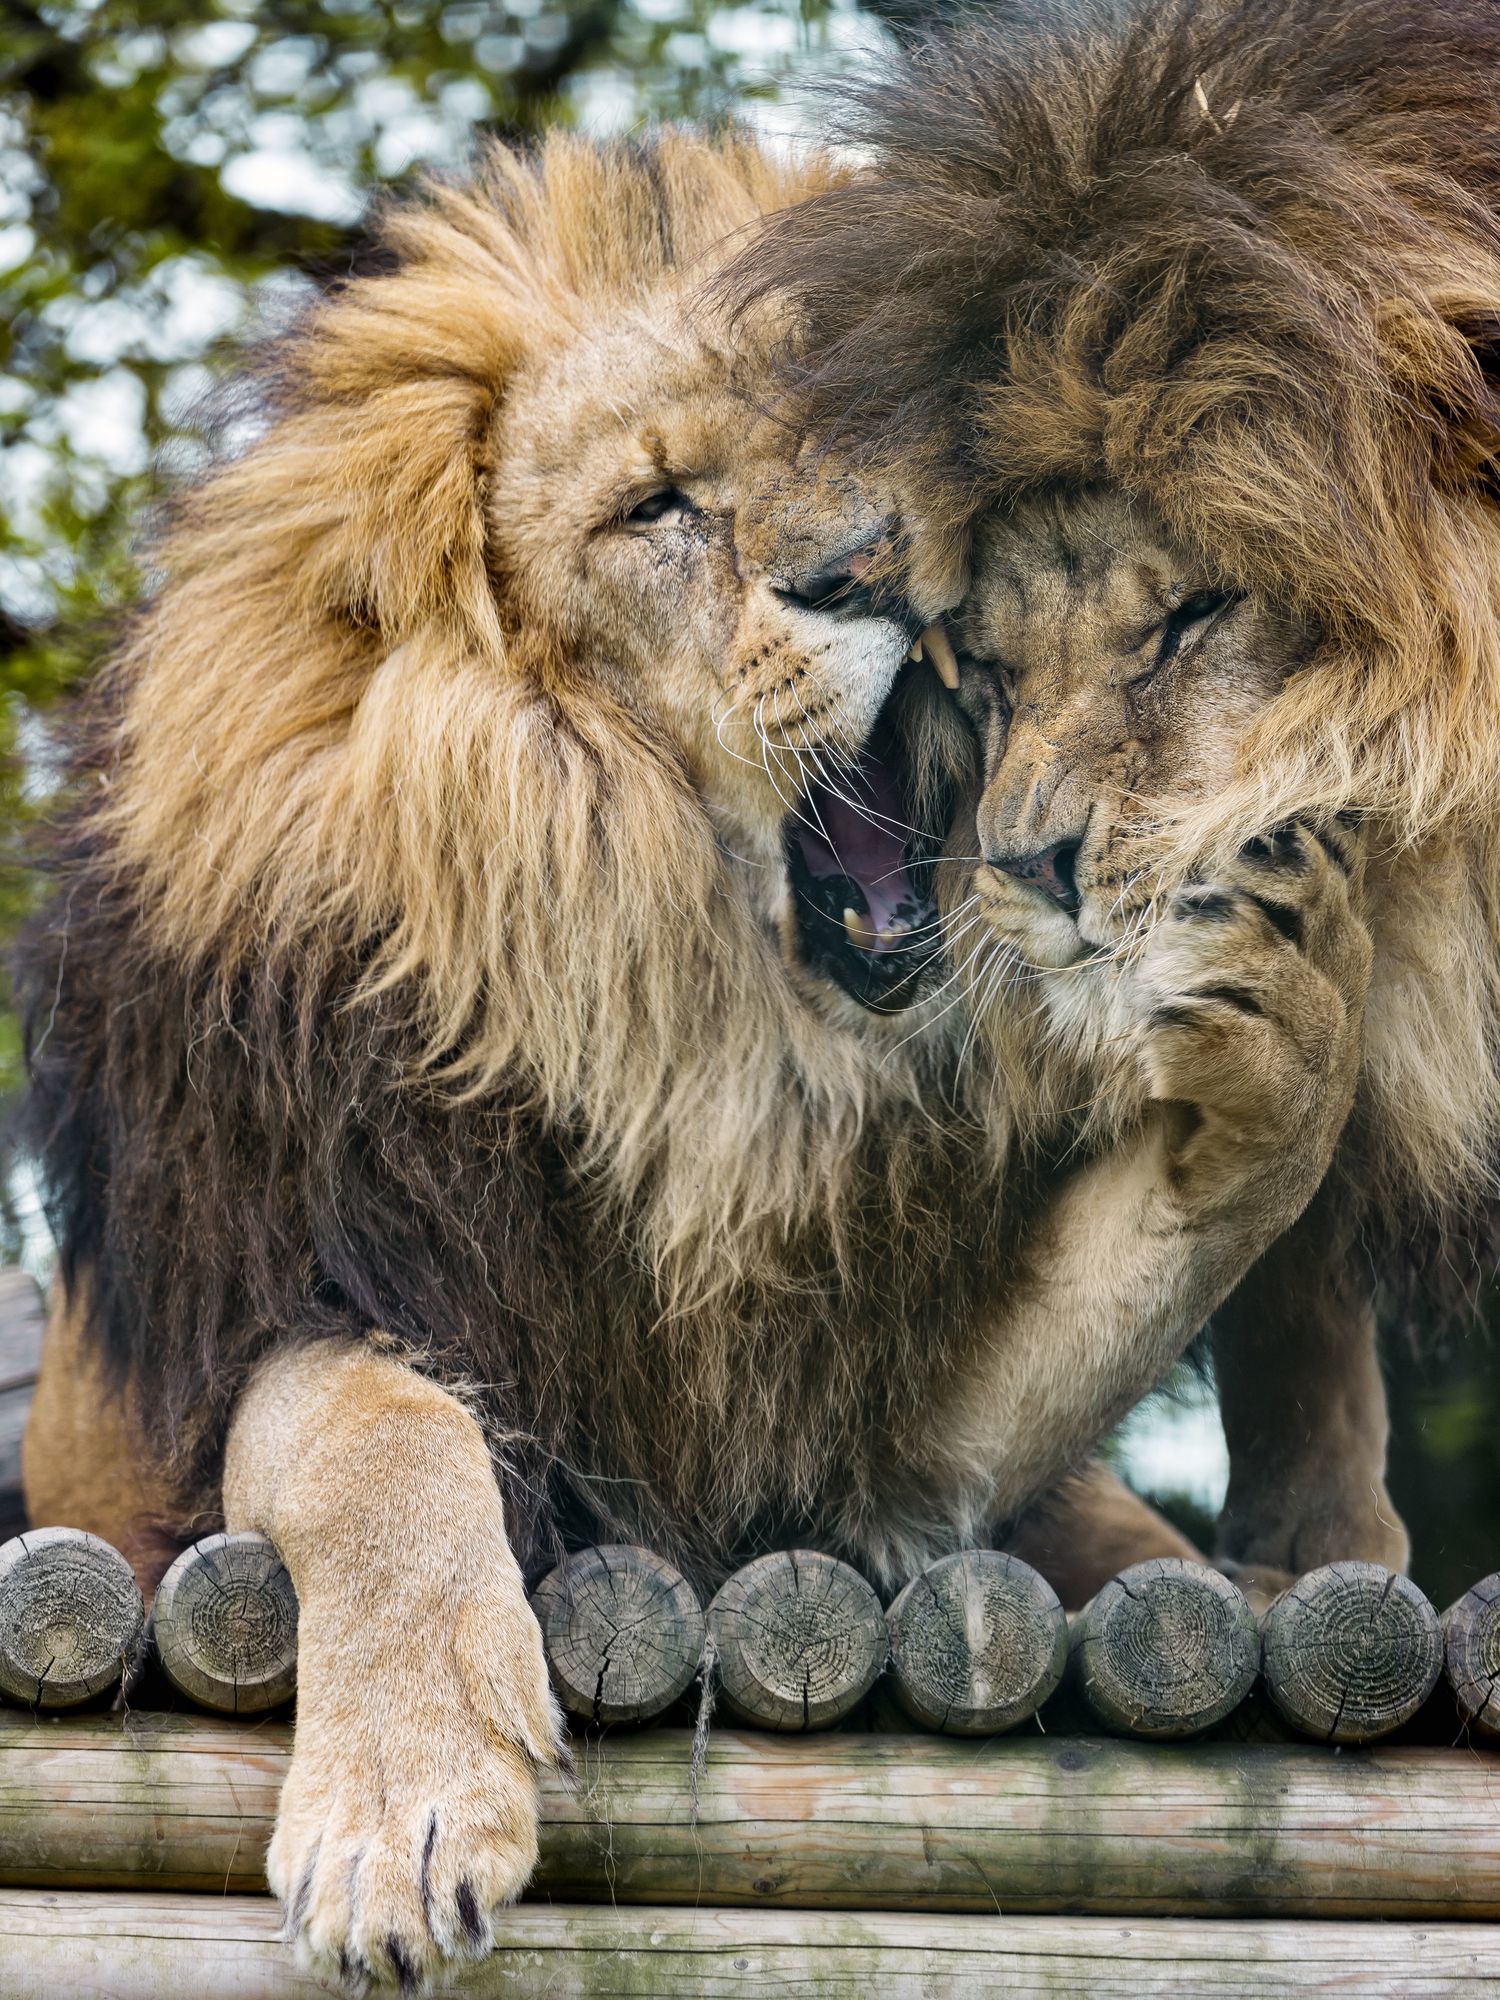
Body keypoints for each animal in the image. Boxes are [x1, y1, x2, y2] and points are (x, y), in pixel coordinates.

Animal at [11, 125, 1360, 1984]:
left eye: (881, 434)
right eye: (660, 507)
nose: (876, 564)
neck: (707, 1055)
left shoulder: (861, 1492)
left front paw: (1285, 1014)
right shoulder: (301, 1275)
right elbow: (374, 1442)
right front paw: (400, 1815)